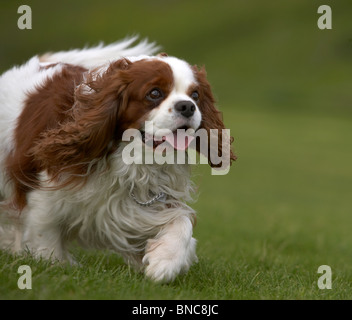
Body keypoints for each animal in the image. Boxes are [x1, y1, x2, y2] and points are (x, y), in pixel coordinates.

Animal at [0, 38, 236, 282]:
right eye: (154, 93)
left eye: (195, 95)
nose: (187, 106)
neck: (130, 158)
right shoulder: (43, 196)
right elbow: (45, 237)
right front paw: (53, 264)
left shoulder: (149, 203)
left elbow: (182, 223)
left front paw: (166, 261)